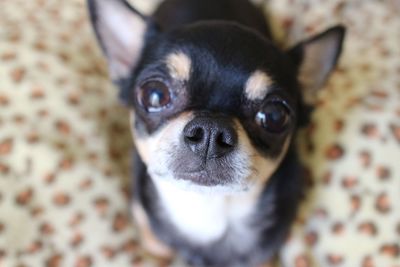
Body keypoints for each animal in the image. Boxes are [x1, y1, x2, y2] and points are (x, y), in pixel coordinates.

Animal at [89, 0, 346, 266]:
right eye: (155, 94)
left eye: (275, 116)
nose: (211, 131)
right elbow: (156, 243)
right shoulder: (143, 214)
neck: (209, 209)